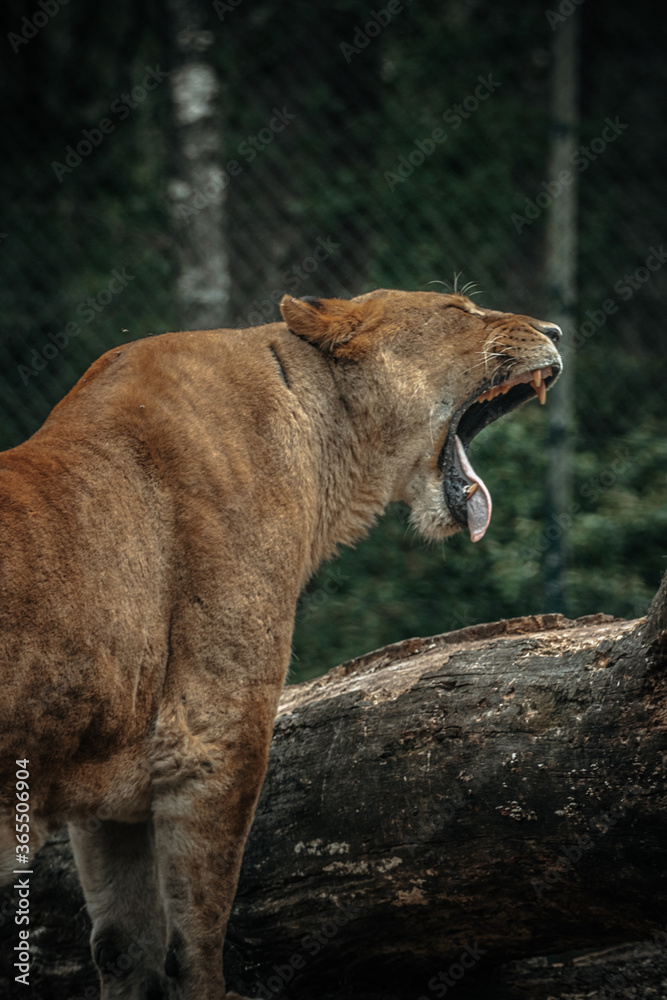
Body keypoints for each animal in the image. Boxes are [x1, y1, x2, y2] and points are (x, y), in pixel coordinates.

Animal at [0, 289, 561, 998]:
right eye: (459, 307)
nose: (556, 329)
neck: (326, 446)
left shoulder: (111, 802)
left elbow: (126, 949)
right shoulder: (213, 740)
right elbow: (196, 941)